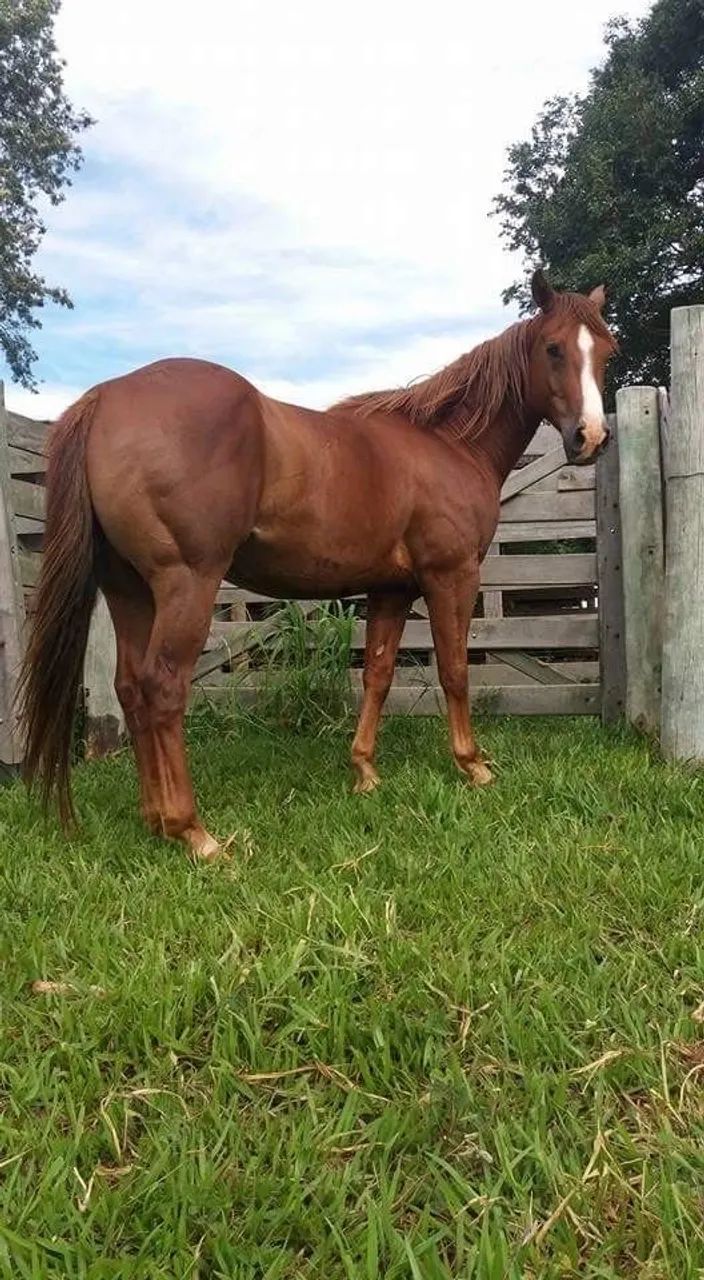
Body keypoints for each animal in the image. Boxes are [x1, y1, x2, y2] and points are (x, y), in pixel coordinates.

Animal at [18, 270, 617, 859]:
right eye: (553, 348)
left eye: (606, 350)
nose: (590, 437)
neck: (448, 444)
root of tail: (104, 397)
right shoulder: (451, 577)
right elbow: (455, 671)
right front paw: (473, 766)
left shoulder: (391, 591)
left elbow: (377, 674)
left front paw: (365, 771)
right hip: (186, 582)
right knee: (162, 688)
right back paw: (194, 833)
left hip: (130, 591)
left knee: (130, 688)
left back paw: (154, 820)